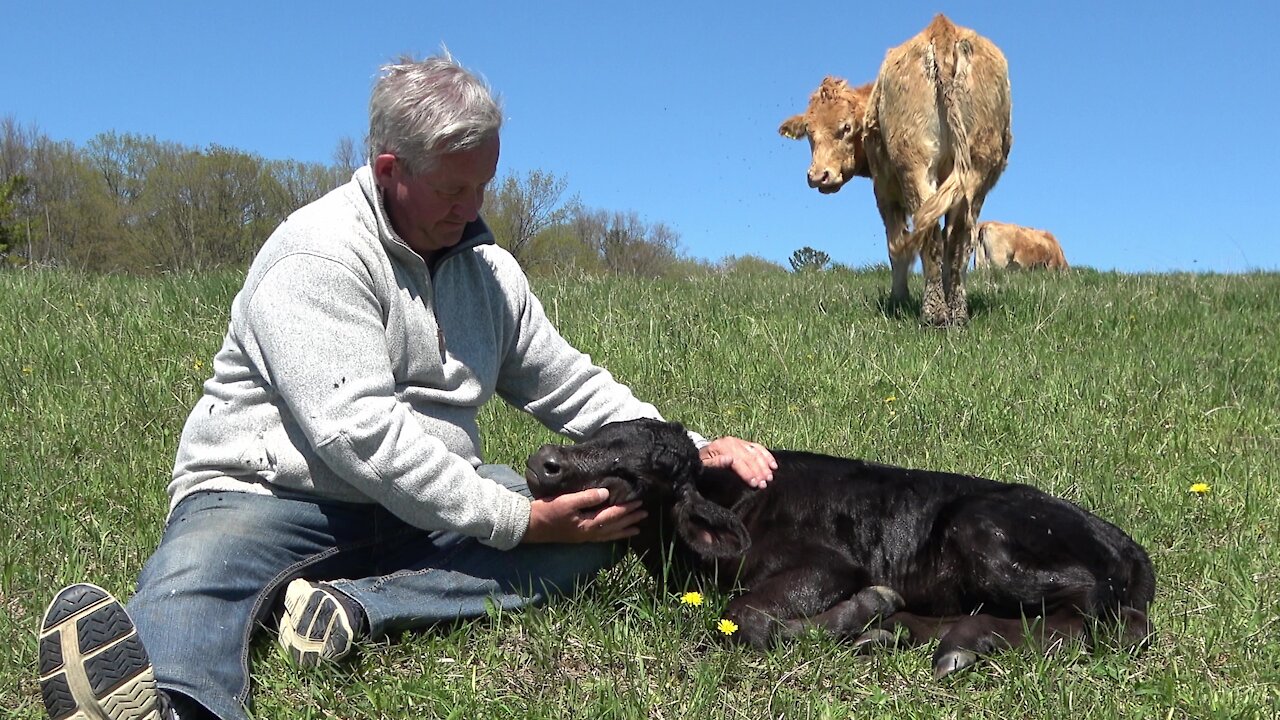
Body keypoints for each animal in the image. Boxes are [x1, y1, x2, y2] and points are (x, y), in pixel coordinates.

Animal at [524, 417, 1157, 676]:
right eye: (600, 434)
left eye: (648, 470)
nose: (545, 463)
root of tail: (1120, 538)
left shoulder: (828, 566)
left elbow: (746, 617)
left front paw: (853, 615)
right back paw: (911, 634)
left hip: (985, 533)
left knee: (1098, 617)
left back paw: (950, 641)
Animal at [773, 14, 1013, 325]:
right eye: (809, 134)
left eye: (846, 128)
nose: (818, 176)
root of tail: (942, 27)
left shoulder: (885, 191)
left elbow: (895, 245)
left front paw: (898, 299)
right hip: (977, 169)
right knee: (958, 237)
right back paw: (956, 312)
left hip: (916, 167)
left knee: (929, 236)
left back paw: (933, 313)